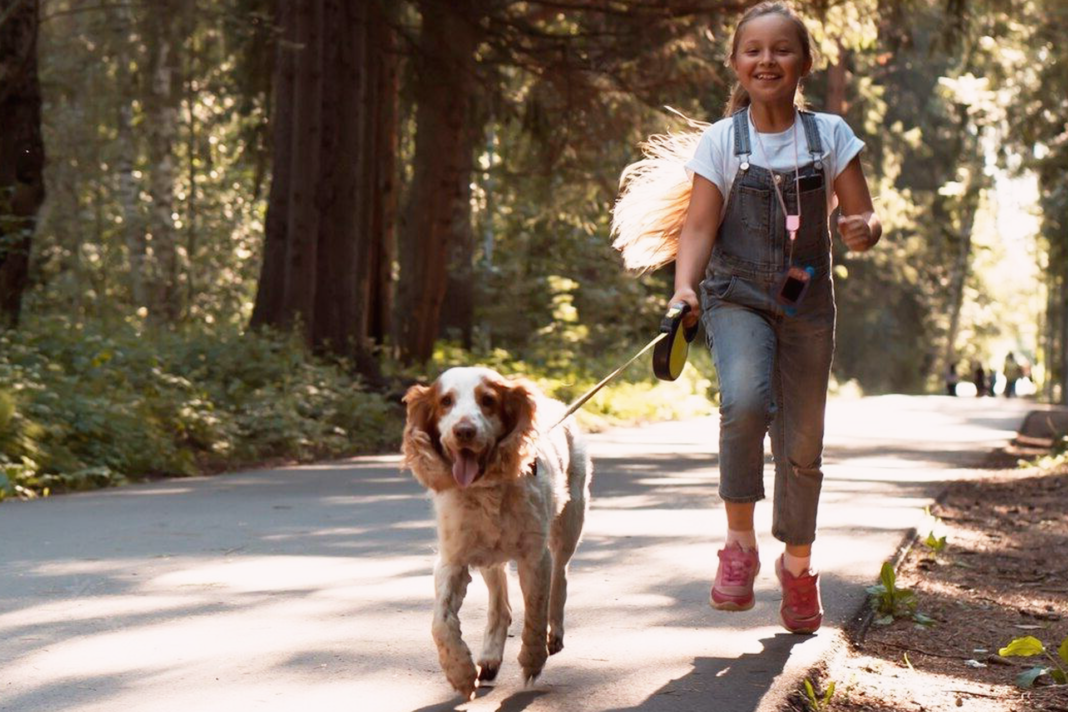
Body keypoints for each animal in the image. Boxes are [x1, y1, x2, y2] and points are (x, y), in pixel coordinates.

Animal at [401, 367, 593, 695]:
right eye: (446, 401)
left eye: (488, 400)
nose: (464, 431)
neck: (486, 490)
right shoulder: (453, 560)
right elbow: (441, 622)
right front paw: (460, 672)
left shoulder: (535, 557)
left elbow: (535, 612)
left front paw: (532, 660)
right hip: (490, 558)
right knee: (501, 605)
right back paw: (490, 658)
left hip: (570, 521)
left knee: (561, 576)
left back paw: (554, 633)